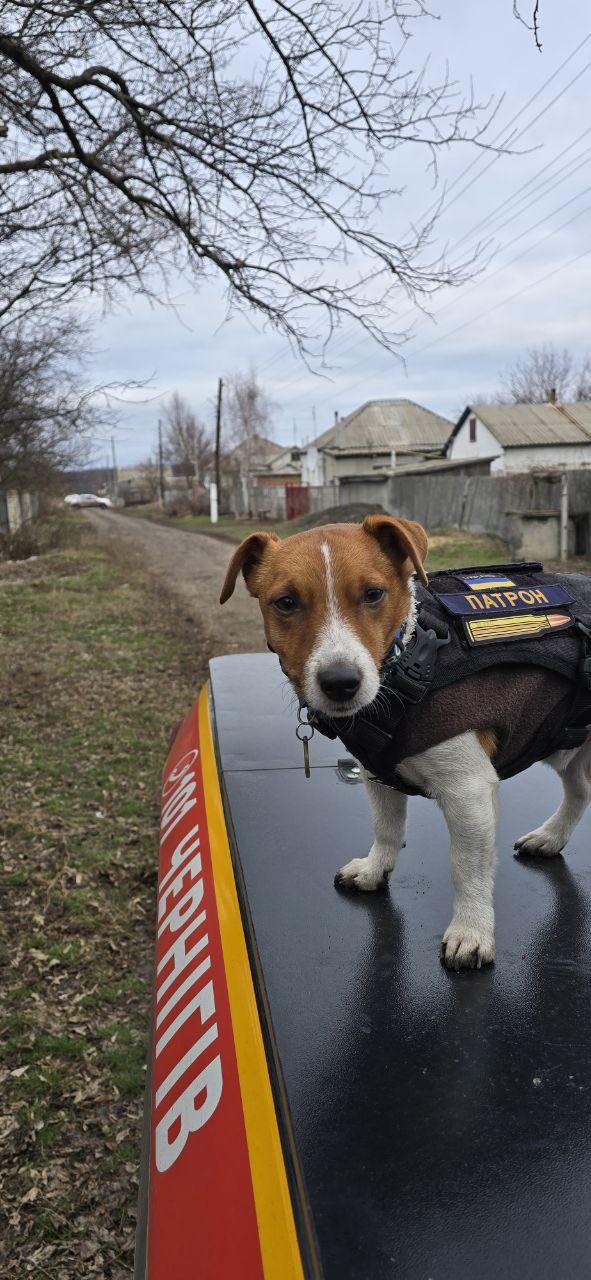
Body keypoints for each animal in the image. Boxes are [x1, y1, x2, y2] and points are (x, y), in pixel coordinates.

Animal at [218, 514, 591, 962]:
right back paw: (551, 836)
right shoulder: (378, 774)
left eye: (373, 594)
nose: (340, 682)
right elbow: (387, 828)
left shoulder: (469, 792)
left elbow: (467, 868)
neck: (410, 658)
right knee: (580, 791)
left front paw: (471, 929)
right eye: (286, 603)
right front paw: (375, 868)